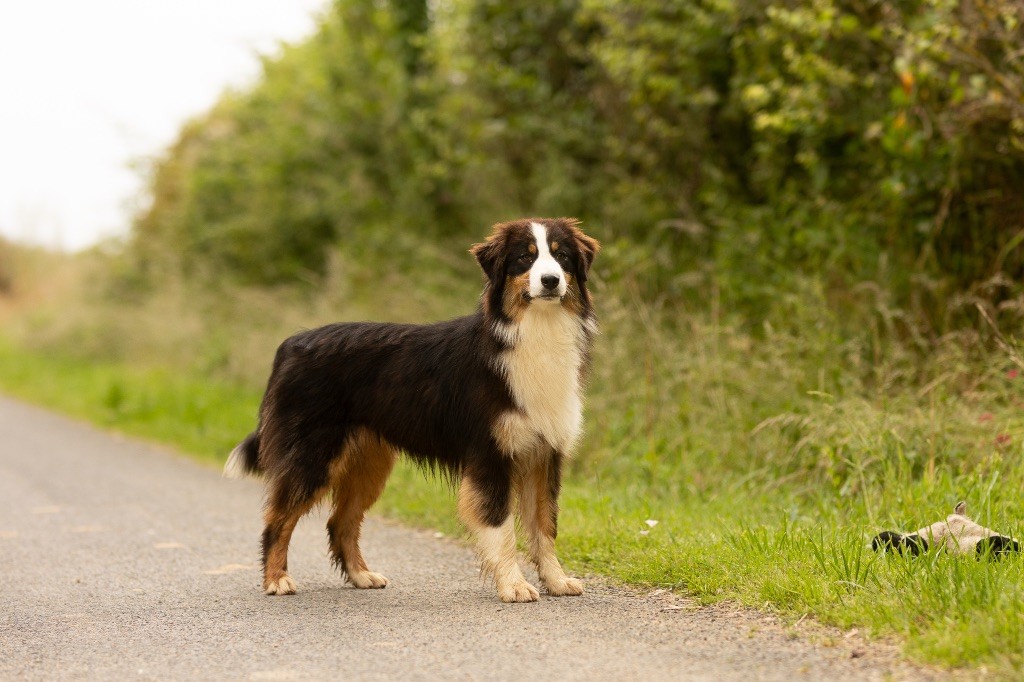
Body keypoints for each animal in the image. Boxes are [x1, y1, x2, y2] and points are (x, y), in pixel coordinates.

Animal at [226, 218, 598, 602]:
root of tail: (289, 344)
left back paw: (361, 576)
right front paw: (514, 585)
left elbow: (545, 525)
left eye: (562, 256)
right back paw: (277, 580)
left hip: (368, 464)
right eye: (525, 258)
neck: (533, 332)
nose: (551, 280)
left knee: (340, 521)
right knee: (277, 518)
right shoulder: (489, 454)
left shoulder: (543, 454)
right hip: (312, 455)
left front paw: (556, 581)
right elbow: (500, 525)